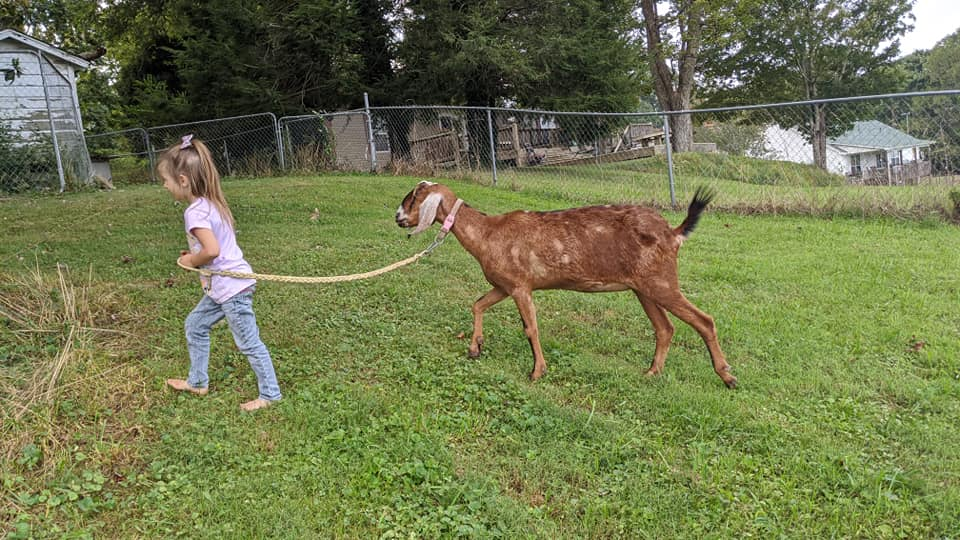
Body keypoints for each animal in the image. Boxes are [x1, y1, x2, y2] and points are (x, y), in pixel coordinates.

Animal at [395, 181, 737, 388]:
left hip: (661, 280)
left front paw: (537, 371)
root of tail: (674, 232)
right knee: (665, 328)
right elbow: (477, 303)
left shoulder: (520, 286)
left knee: (704, 320)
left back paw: (727, 376)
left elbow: (530, 328)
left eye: (412, 197)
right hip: (644, 287)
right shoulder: (504, 285)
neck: (488, 234)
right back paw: (652, 372)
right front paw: (475, 347)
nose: (398, 217)